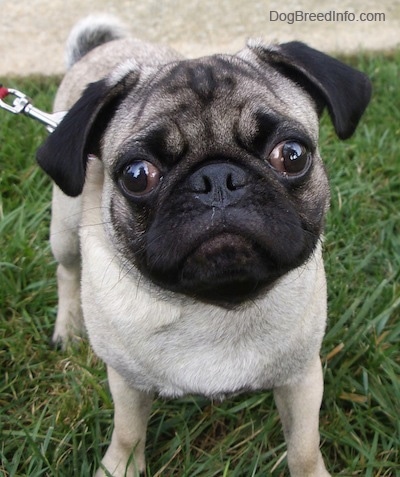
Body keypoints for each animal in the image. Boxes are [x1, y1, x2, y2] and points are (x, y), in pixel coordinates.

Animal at [37, 14, 372, 476]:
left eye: (291, 154)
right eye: (137, 175)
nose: (217, 179)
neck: (212, 309)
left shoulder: (302, 377)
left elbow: (304, 447)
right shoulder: (126, 382)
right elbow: (127, 432)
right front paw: (119, 466)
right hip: (66, 229)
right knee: (67, 270)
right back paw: (68, 329)